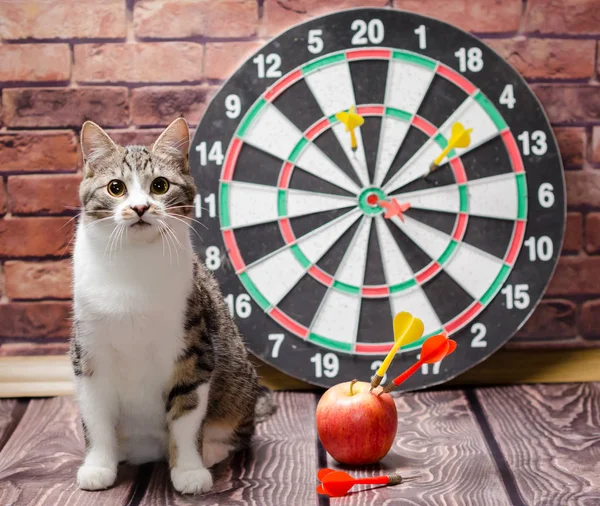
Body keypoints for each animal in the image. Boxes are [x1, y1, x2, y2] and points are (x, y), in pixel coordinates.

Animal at [71, 118, 274, 494]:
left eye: (160, 186)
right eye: (116, 188)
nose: (140, 208)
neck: (134, 265)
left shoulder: (193, 351)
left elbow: (186, 415)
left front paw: (189, 470)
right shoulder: (89, 355)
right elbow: (96, 418)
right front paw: (98, 466)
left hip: (238, 379)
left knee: (239, 430)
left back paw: (211, 449)